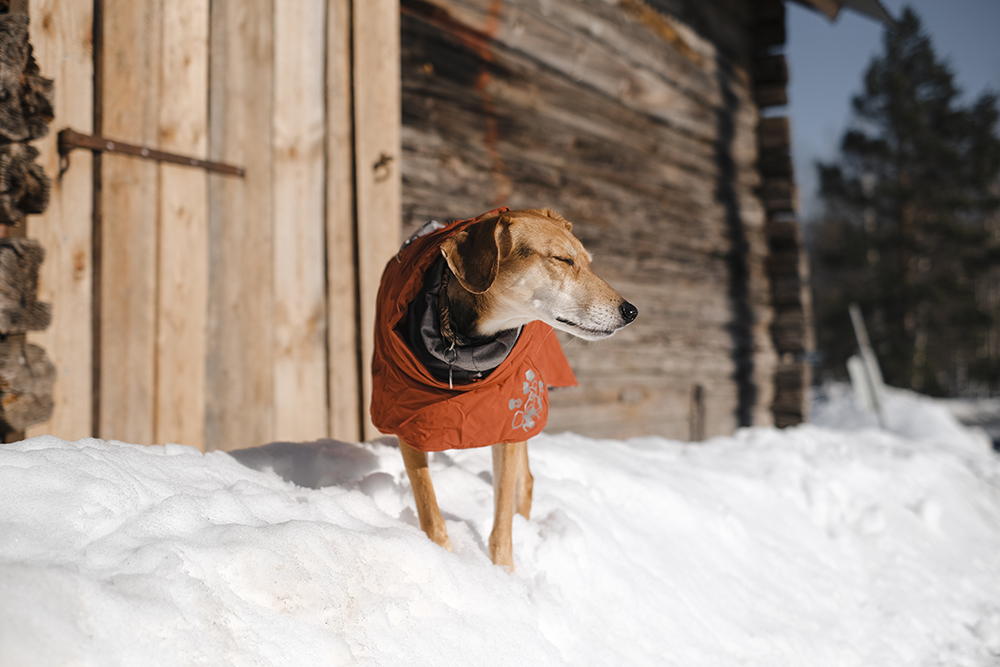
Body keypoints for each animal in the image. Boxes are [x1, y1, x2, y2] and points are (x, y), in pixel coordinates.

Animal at [372, 207, 636, 568]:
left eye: (588, 261)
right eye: (563, 259)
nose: (631, 311)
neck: (465, 346)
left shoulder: (510, 422)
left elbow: (502, 520)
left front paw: (503, 573)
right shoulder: (405, 421)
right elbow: (430, 511)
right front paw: (442, 557)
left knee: (526, 482)